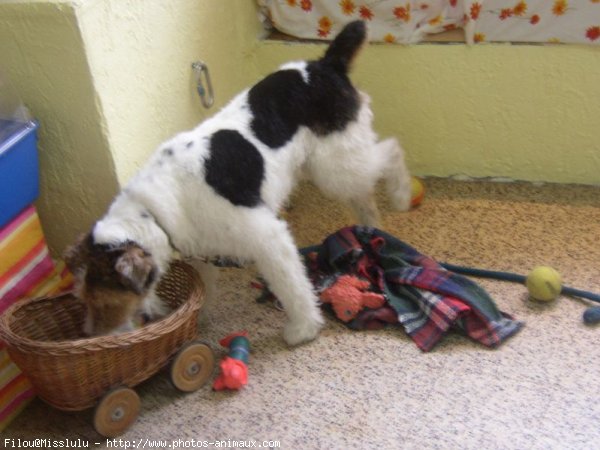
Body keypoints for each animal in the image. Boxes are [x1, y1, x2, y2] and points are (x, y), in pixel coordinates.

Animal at [64, 20, 412, 344]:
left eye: (101, 300)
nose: (91, 335)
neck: (155, 211)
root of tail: (325, 64)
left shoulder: (270, 238)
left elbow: (293, 287)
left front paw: (303, 329)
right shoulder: (201, 247)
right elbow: (205, 286)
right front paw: (198, 318)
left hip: (335, 166)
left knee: (392, 150)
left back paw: (402, 196)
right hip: (335, 166)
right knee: (365, 194)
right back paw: (371, 226)